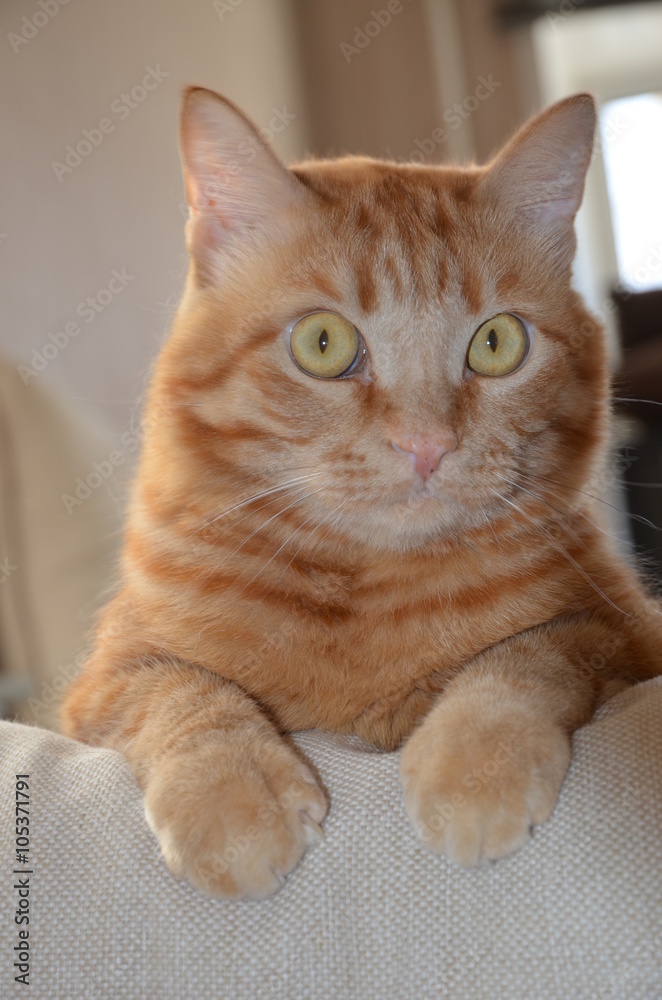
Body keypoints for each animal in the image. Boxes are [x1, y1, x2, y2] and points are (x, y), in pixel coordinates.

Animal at [61, 88, 660, 900]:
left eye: (497, 343)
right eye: (324, 343)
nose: (426, 444)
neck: (360, 589)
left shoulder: (625, 631)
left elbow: (532, 653)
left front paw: (475, 760)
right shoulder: (101, 683)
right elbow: (179, 691)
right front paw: (230, 794)